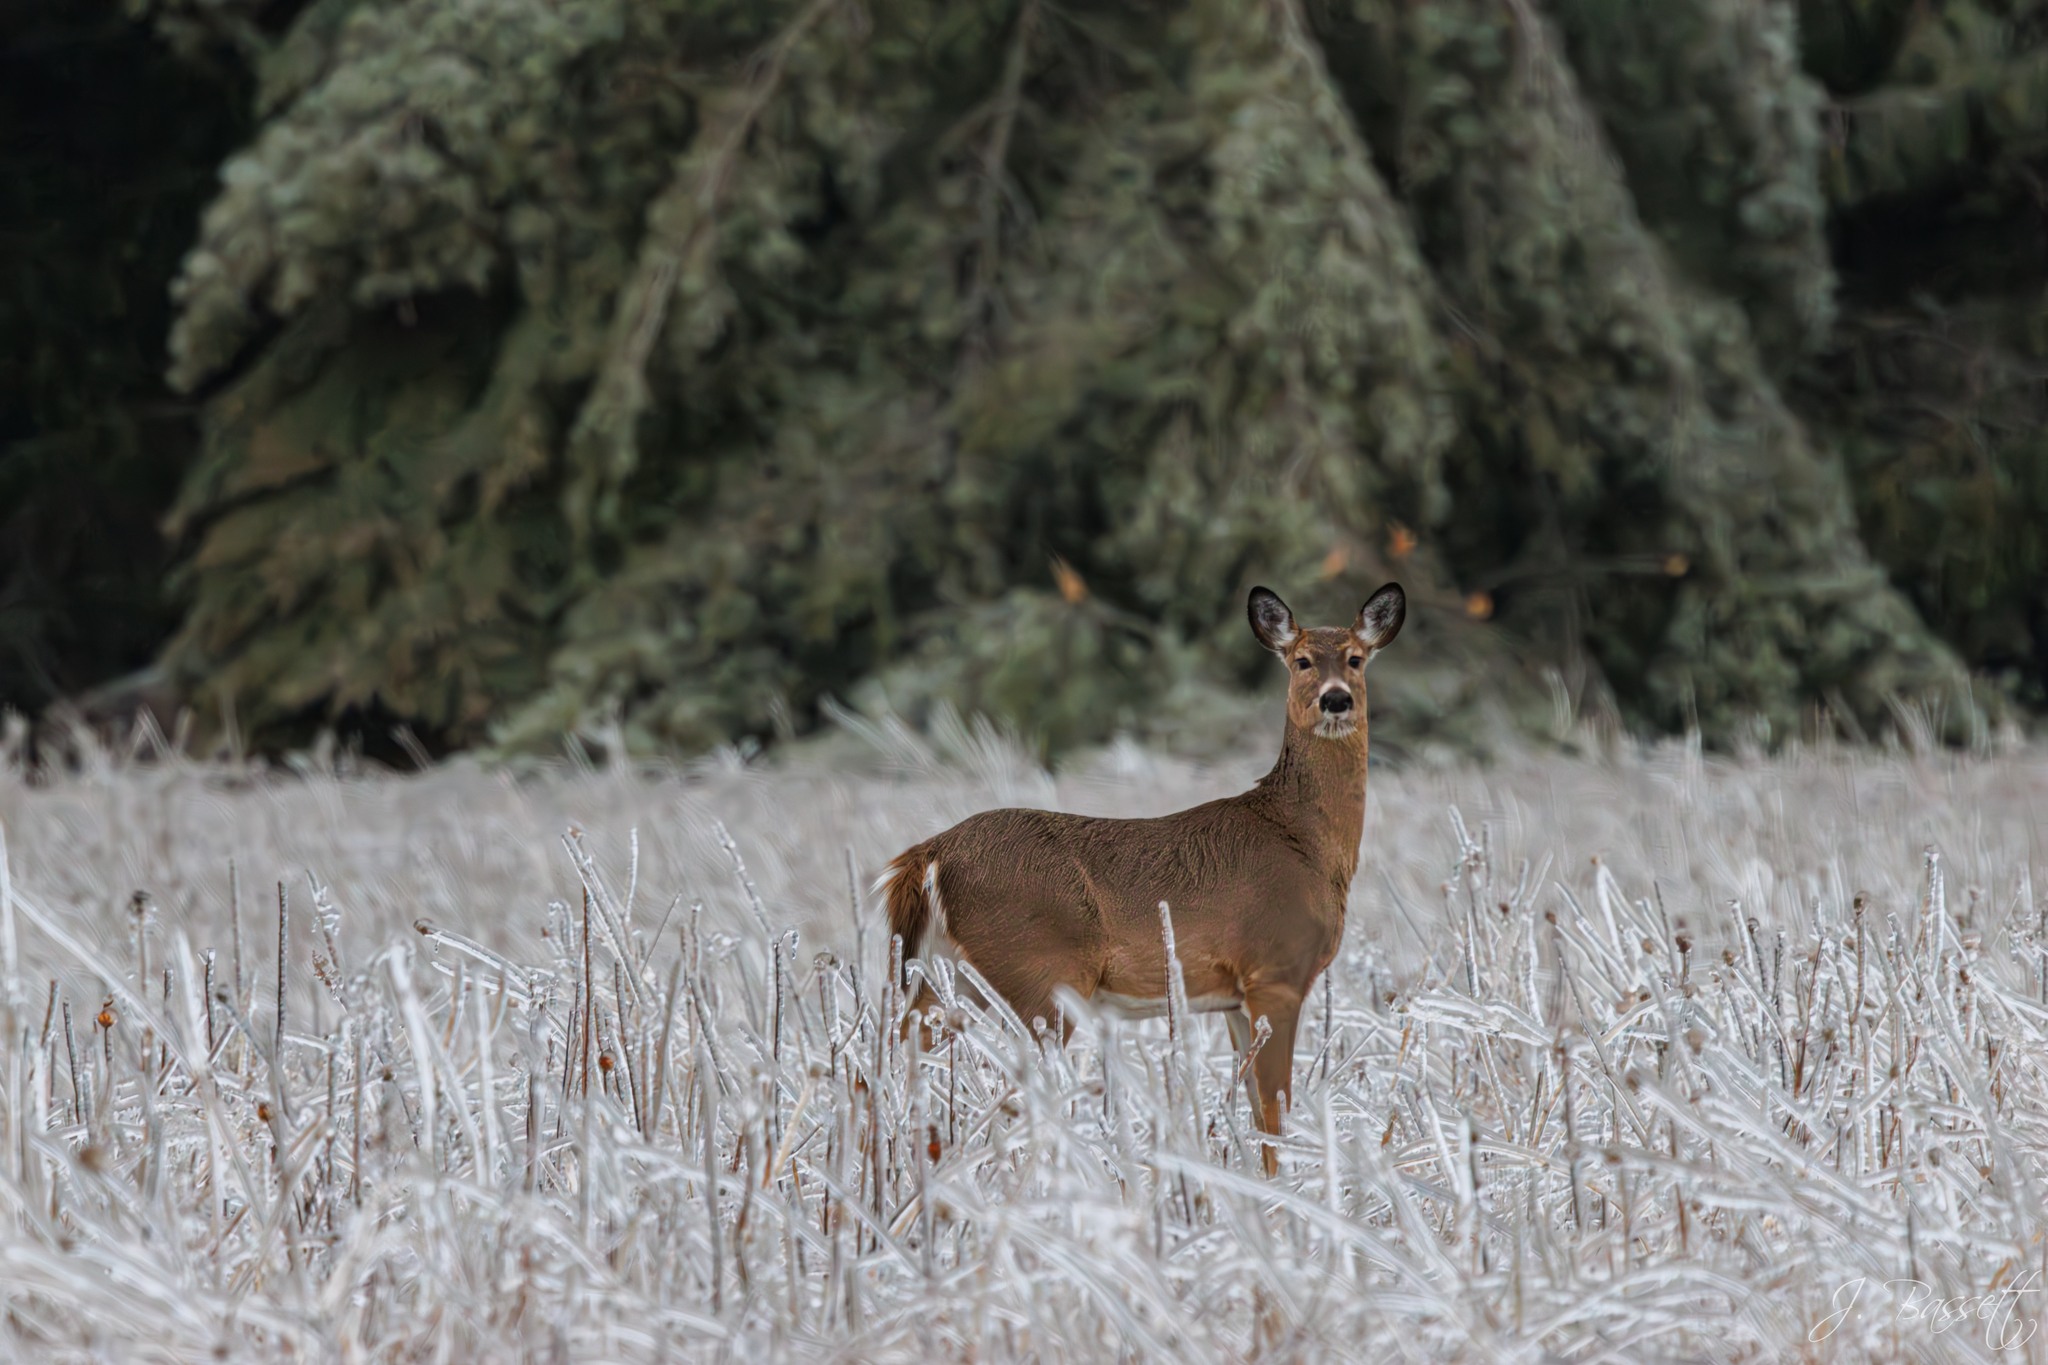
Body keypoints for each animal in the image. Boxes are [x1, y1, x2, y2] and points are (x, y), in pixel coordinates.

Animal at [876, 582, 1405, 1173]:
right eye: (1302, 660)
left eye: (1356, 658)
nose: (1336, 699)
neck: (1305, 841)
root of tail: (930, 852)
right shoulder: (1276, 970)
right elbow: (1274, 1107)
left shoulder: (1236, 995)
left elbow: (1253, 1101)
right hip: (1041, 972)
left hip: (946, 972)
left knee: (904, 1053)